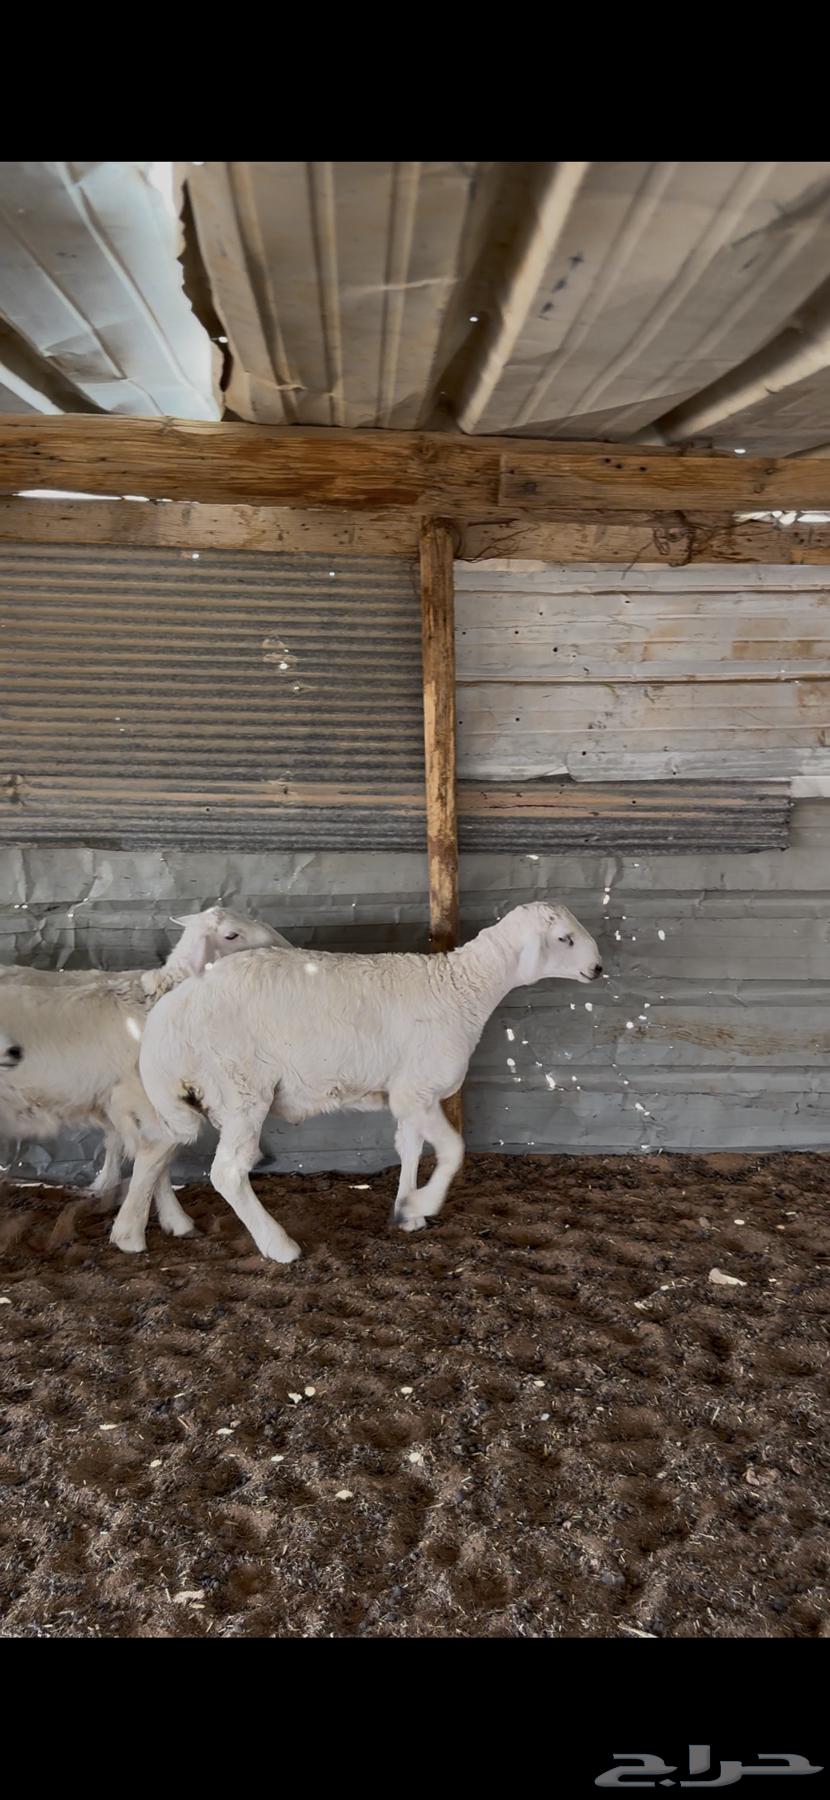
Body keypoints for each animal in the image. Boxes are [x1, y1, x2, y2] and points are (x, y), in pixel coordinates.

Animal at [133, 900, 602, 1263]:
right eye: (565, 938)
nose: (598, 968)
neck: (462, 988)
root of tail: (168, 1015)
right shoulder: (416, 1090)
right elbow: (453, 1150)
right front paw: (425, 1202)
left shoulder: (410, 1093)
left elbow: (409, 1148)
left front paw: (407, 1212)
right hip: (240, 1086)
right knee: (229, 1171)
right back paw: (280, 1246)